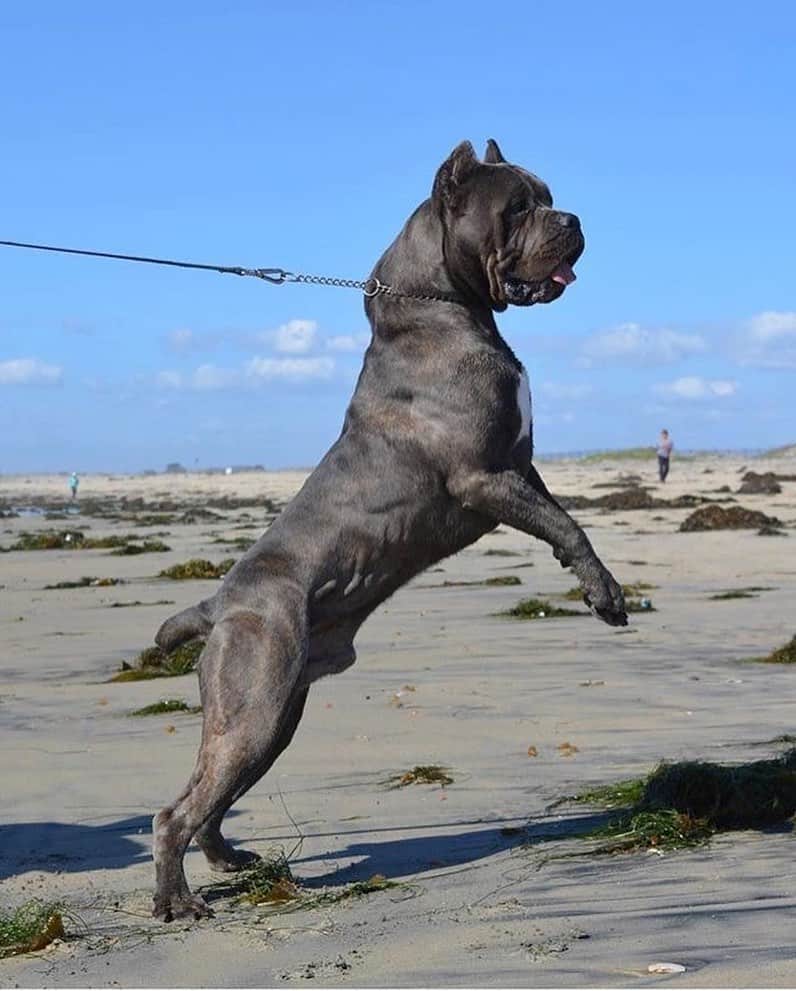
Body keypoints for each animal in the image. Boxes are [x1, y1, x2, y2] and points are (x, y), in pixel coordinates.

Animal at [151, 138, 628, 924]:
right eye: (518, 207)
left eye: (548, 196)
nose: (574, 219)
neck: (439, 306)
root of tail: (220, 603)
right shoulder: (483, 477)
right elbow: (569, 524)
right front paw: (606, 593)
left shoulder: (520, 466)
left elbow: (560, 516)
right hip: (256, 703)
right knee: (175, 811)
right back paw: (177, 902)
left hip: (273, 716)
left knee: (209, 797)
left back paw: (232, 860)